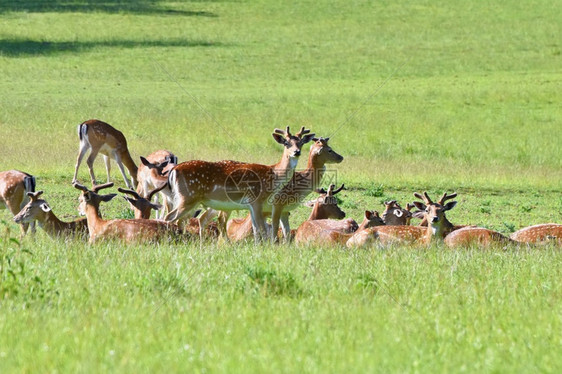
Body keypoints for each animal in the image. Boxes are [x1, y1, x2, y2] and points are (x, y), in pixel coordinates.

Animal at [165, 127, 316, 241]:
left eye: (301, 143)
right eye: (286, 143)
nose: (297, 152)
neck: (273, 175)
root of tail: (174, 170)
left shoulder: (251, 204)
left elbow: (255, 228)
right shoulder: (256, 199)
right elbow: (261, 228)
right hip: (188, 196)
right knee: (170, 217)